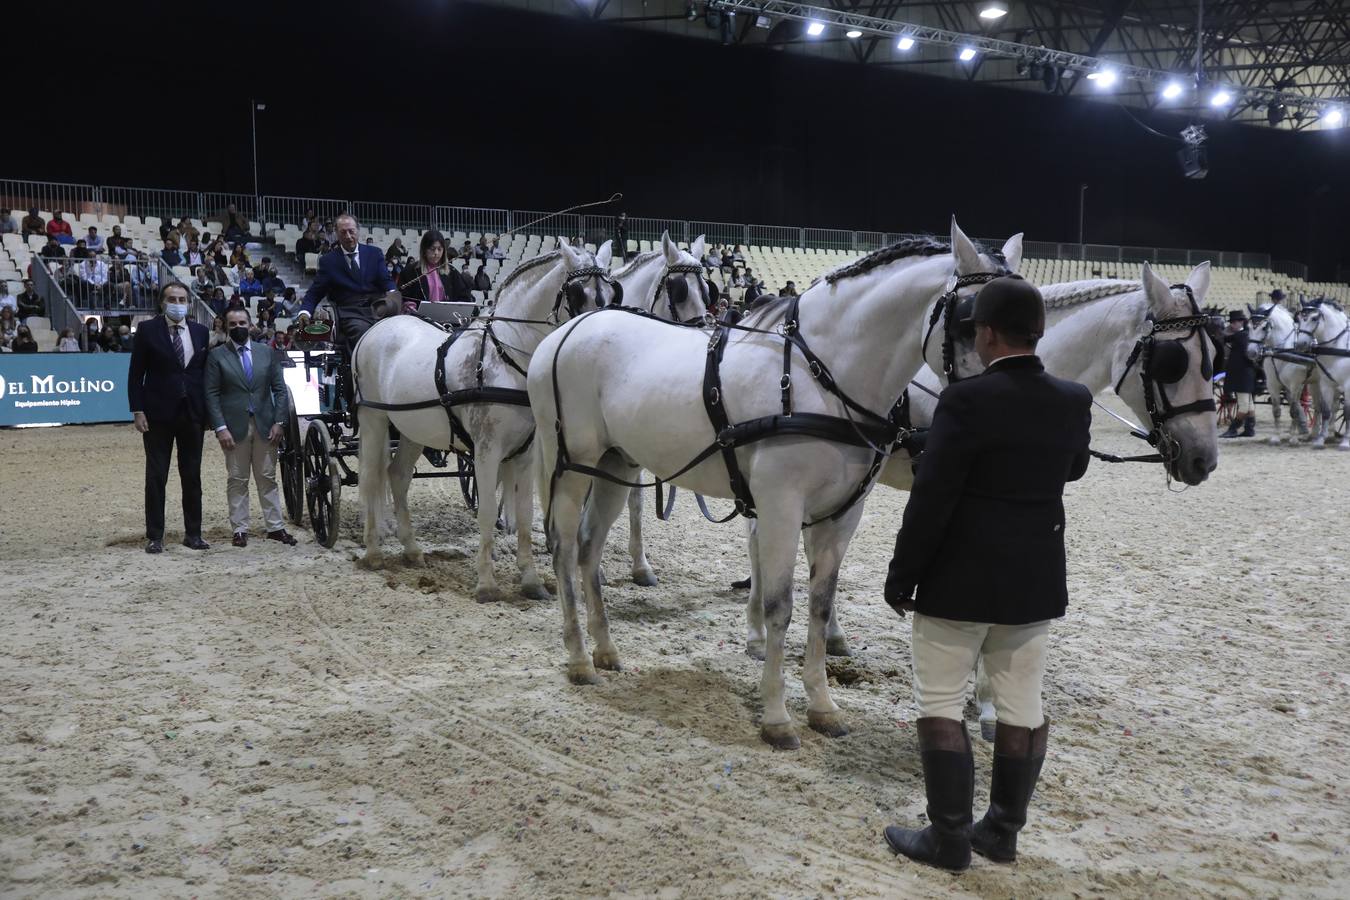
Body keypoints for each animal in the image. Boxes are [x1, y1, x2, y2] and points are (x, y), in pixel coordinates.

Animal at [351, 242, 618, 601]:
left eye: (611, 292)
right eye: (577, 293)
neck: (506, 359)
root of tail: (377, 327)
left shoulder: (524, 454)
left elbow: (523, 513)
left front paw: (531, 580)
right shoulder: (487, 450)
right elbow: (489, 510)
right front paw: (487, 584)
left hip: (412, 430)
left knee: (398, 476)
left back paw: (412, 550)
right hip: (373, 419)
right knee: (370, 478)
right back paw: (374, 552)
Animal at [526, 221, 1020, 750]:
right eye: (970, 320)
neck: (820, 379)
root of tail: (567, 332)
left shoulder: (842, 515)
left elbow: (820, 608)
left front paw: (823, 708)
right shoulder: (781, 505)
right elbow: (780, 606)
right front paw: (777, 716)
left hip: (615, 466)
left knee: (588, 549)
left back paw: (606, 650)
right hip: (571, 467)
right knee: (562, 549)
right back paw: (579, 658)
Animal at [1247, 302, 1323, 442]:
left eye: (1264, 327)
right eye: (1248, 326)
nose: (1251, 352)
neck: (1284, 351)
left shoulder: (1296, 385)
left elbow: (1294, 410)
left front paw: (1292, 438)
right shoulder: (1272, 385)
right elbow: (1276, 410)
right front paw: (1276, 437)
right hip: (1315, 383)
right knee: (1318, 406)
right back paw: (1314, 434)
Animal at [1290, 300, 1350, 453]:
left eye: (1314, 318)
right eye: (1299, 318)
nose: (1301, 344)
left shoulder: (1348, 385)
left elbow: (1347, 412)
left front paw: (1346, 442)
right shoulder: (1326, 383)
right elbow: (1326, 411)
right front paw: (1320, 440)